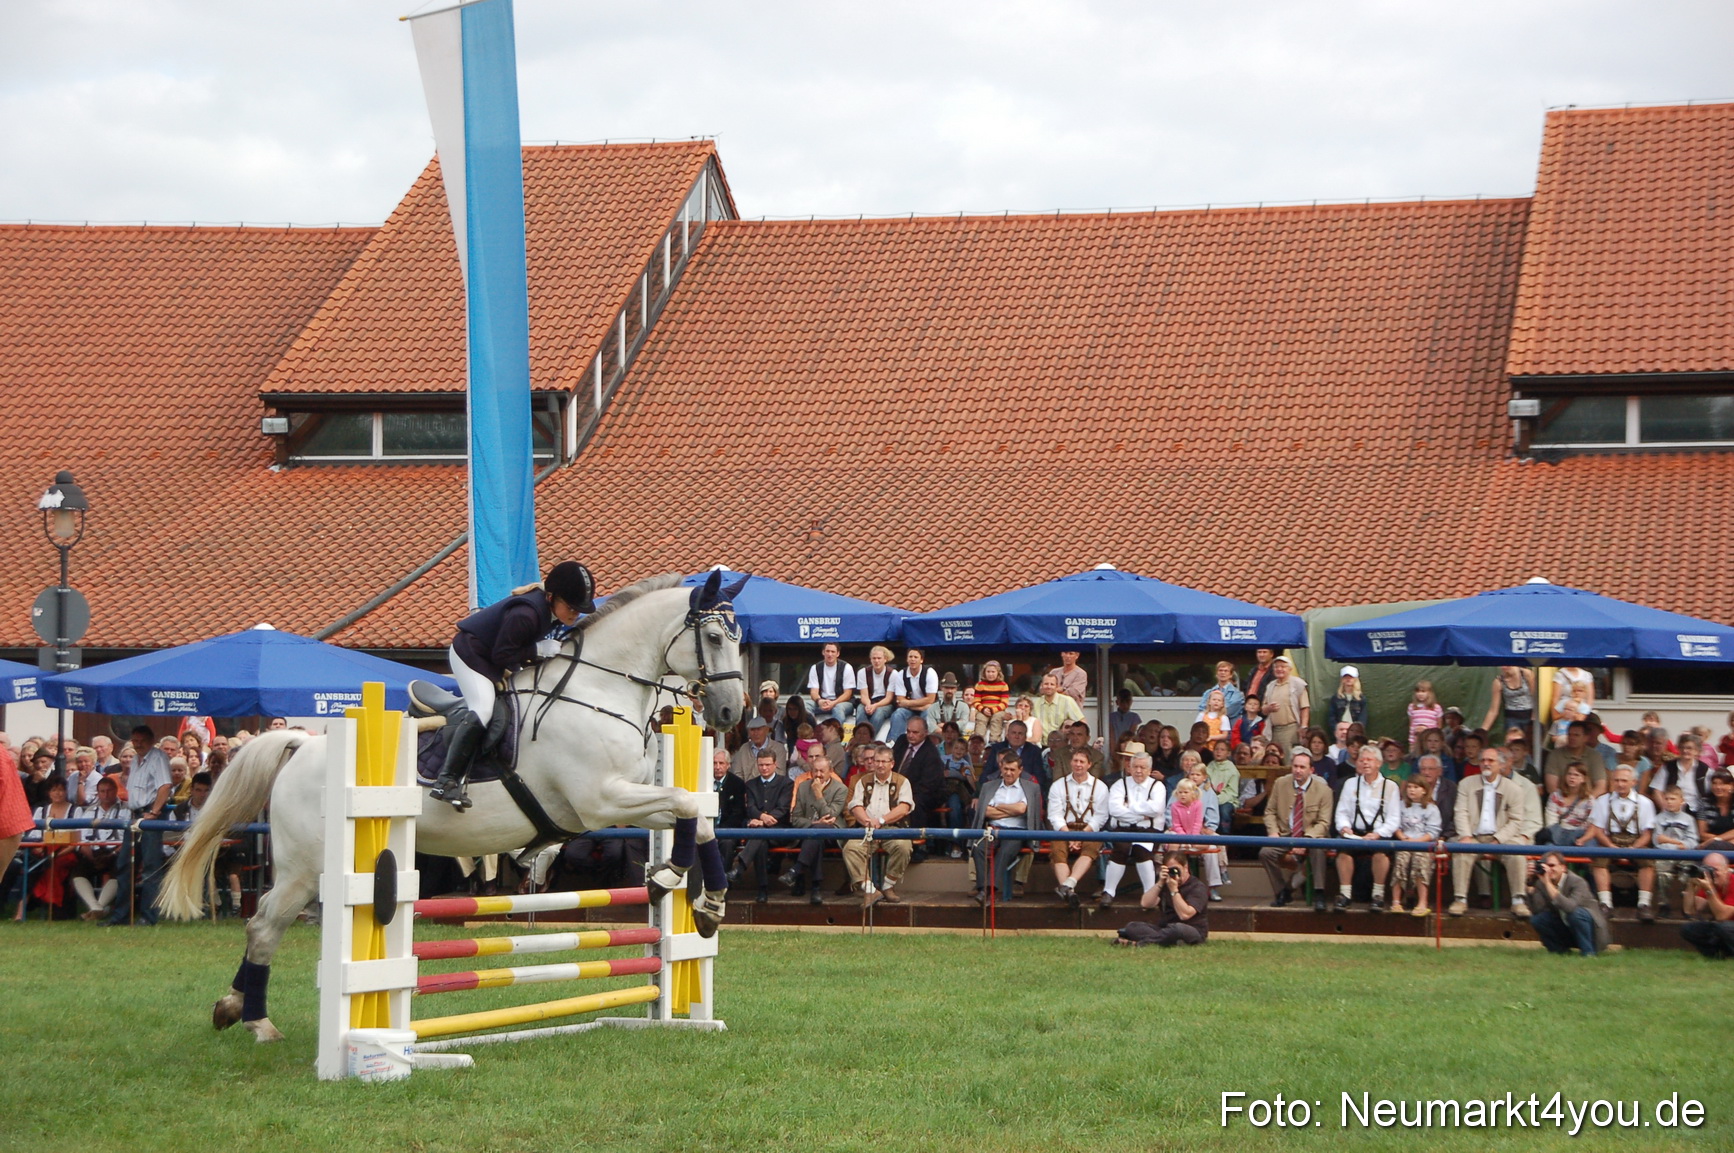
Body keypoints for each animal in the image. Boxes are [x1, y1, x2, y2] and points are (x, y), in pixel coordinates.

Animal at [158, 571, 745, 1043]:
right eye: (714, 637)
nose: (730, 712)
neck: (600, 692)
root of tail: (302, 744)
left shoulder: (621, 802)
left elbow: (695, 816)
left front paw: (705, 903)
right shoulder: (601, 802)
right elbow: (685, 803)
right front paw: (673, 879)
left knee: (263, 922)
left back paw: (231, 1008)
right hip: (306, 867)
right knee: (263, 925)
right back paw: (258, 1022)